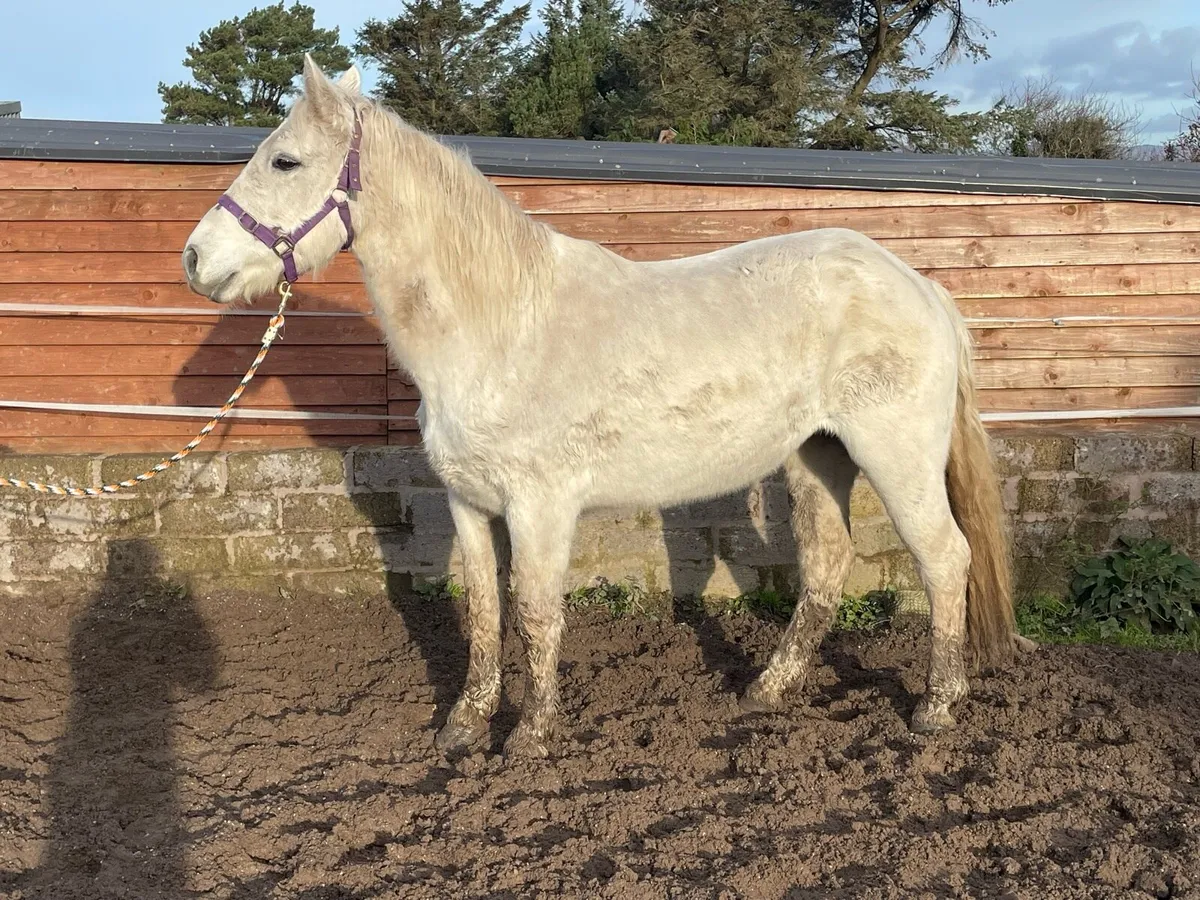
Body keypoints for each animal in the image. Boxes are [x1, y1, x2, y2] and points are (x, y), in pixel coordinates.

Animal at [182, 55, 1020, 760]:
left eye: (285, 160)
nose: (196, 260)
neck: (500, 326)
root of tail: (921, 287)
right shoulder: (468, 503)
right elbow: (483, 609)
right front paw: (465, 725)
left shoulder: (541, 506)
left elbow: (535, 611)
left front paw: (530, 737)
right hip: (818, 456)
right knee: (826, 567)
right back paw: (766, 690)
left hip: (895, 457)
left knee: (945, 559)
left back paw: (936, 708)